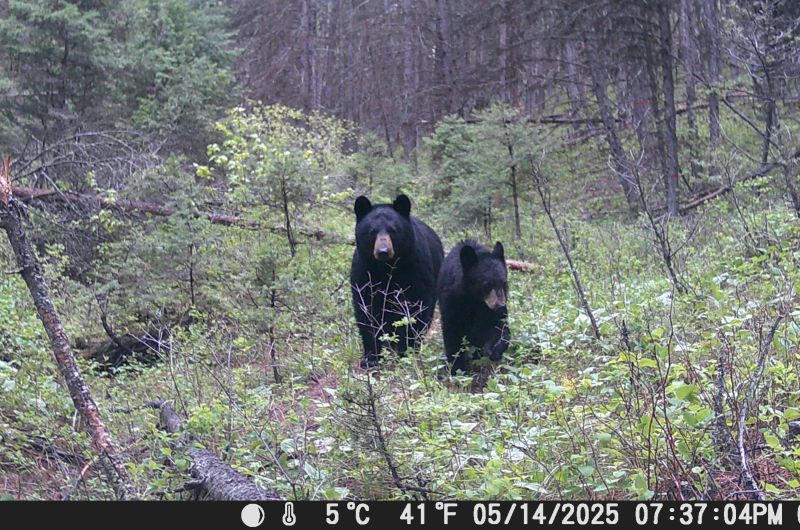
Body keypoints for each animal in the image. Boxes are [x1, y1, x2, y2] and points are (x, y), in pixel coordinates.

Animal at [350, 194, 444, 368]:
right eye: (372, 231)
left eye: (393, 230)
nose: (383, 251)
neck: (386, 268)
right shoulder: (364, 271)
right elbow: (365, 309)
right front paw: (371, 357)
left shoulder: (415, 266)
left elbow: (416, 308)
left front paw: (406, 351)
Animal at [437, 240, 510, 374]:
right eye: (487, 284)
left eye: (504, 282)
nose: (500, 305)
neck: (475, 300)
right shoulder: (451, 301)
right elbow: (452, 333)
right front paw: (458, 369)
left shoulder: (492, 310)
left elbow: (500, 326)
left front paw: (494, 349)